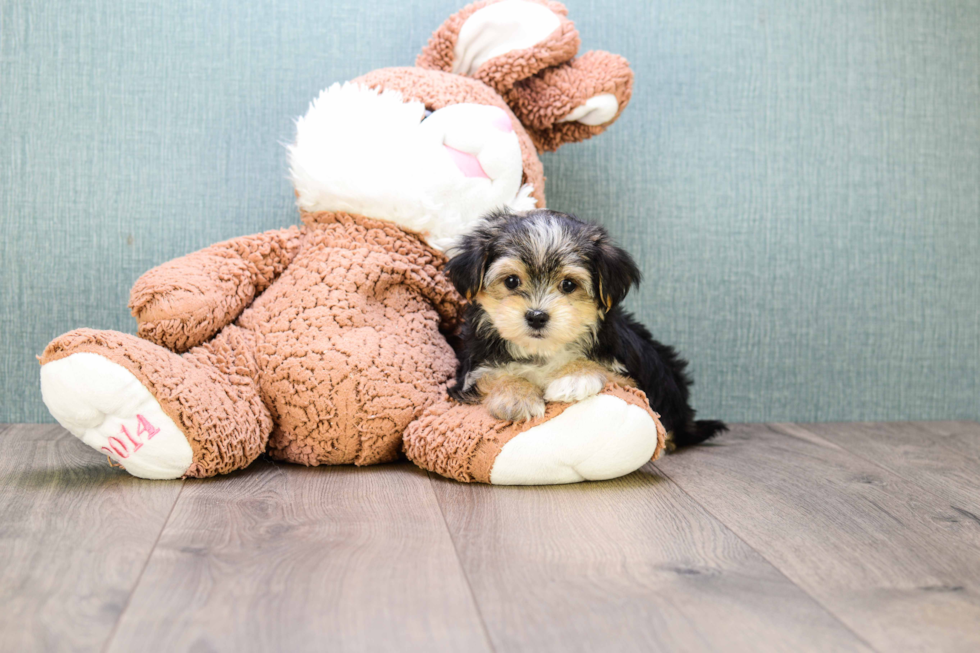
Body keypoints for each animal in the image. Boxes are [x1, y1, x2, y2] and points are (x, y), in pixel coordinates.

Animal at [444, 209, 728, 448]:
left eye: (569, 285)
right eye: (511, 281)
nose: (537, 316)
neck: (542, 351)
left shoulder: (631, 377)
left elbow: (601, 367)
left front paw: (573, 378)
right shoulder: (471, 372)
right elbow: (491, 375)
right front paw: (516, 397)